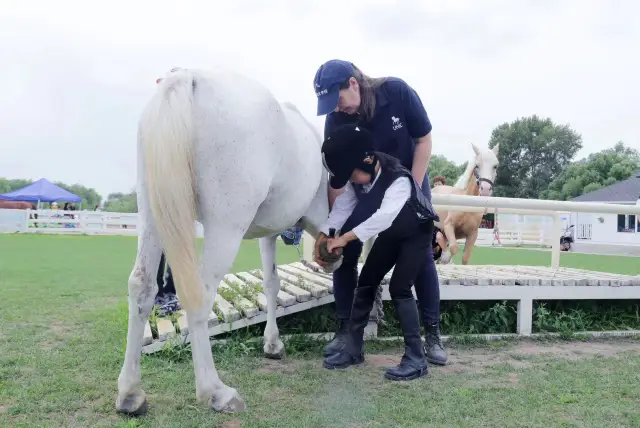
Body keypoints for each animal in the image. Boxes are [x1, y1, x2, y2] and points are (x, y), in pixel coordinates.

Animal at [115, 67, 342, 416]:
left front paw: (272, 344)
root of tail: (188, 78)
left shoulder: (268, 231)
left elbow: (271, 283)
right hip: (225, 226)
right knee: (199, 294)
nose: (331, 258)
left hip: (152, 212)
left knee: (141, 286)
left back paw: (131, 394)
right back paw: (216, 392)